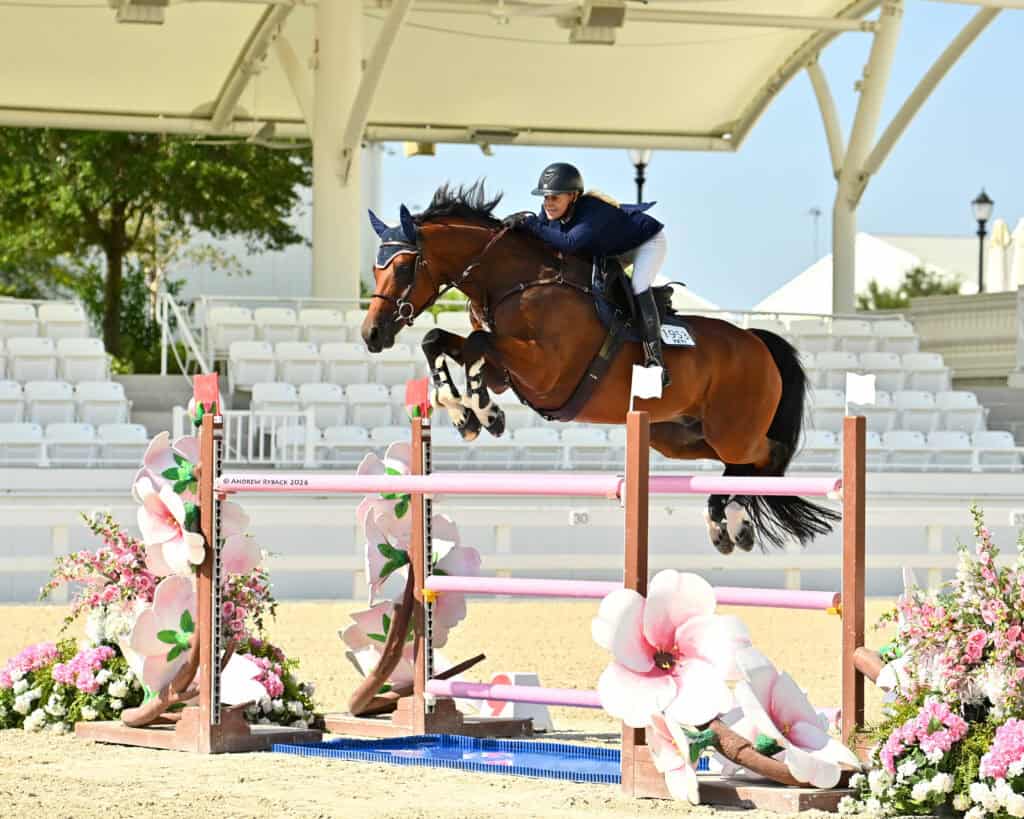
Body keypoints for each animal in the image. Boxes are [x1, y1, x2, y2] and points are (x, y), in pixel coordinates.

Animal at [361, 183, 838, 554]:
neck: (517, 281)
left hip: (732, 431)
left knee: (767, 456)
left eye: (403, 266)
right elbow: (439, 341)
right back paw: (722, 522)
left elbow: (477, 345)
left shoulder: (546, 373)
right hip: (678, 435)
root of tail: (756, 341)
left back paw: (737, 519)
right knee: (736, 465)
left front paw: (483, 412)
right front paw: (469, 416)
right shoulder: (510, 373)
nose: (371, 334)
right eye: (375, 268)